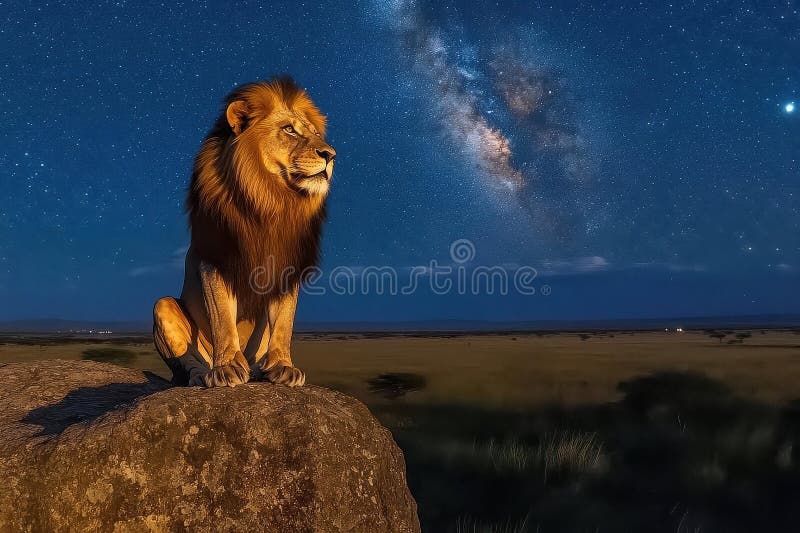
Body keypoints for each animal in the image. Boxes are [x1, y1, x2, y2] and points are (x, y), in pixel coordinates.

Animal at [153, 78, 335, 388]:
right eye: (289, 130)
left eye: (314, 134)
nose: (331, 155)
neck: (271, 201)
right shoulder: (215, 260)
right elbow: (223, 318)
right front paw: (226, 367)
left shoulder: (288, 266)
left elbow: (284, 323)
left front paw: (283, 366)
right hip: (162, 306)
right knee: (187, 365)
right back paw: (204, 374)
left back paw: (260, 368)